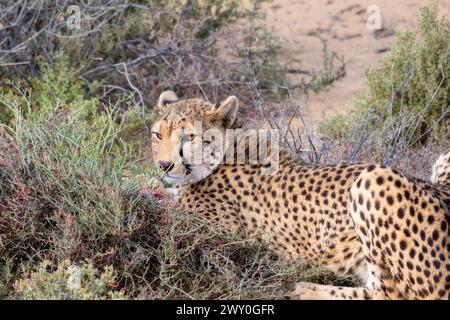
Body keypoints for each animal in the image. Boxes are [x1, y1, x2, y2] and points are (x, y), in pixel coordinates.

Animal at [152, 91, 450, 298]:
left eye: (189, 137)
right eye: (157, 134)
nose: (163, 165)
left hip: (372, 180)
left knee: (389, 294)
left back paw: (307, 289)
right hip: (442, 158)